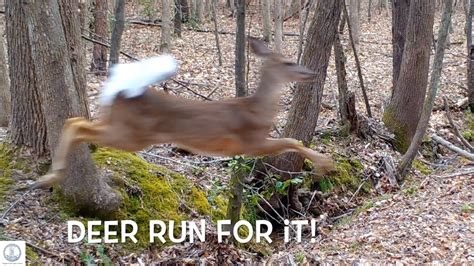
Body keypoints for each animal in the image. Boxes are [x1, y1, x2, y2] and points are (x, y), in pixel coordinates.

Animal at [31, 38, 336, 190]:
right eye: (289, 62)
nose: (312, 73)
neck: (257, 110)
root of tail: (120, 91)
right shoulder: (251, 142)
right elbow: (292, 141)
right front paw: (325, 164)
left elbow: (292, 141)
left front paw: (323, 164)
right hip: (130, 135)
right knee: (78, 125)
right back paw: (51, 176)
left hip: (117, 125)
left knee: (75, 120)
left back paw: (51, 175)